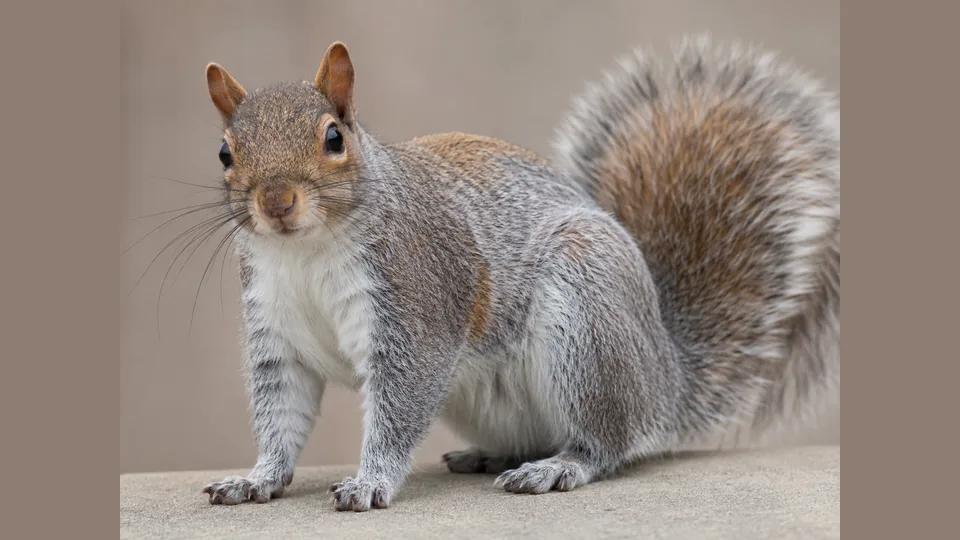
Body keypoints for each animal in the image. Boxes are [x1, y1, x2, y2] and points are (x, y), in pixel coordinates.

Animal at [199, 35, 840, 511]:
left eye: (333, 138)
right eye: (225, 153)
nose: (277, 203)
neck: (305, 253)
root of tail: (666, 374)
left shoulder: (416, 309)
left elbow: (399, 408)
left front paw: (370, 482)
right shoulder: (277, 334)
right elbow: (280, 412)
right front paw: (257, 478)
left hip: (587, 322)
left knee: (607, 441)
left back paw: (558, 467)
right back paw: (491, 456)